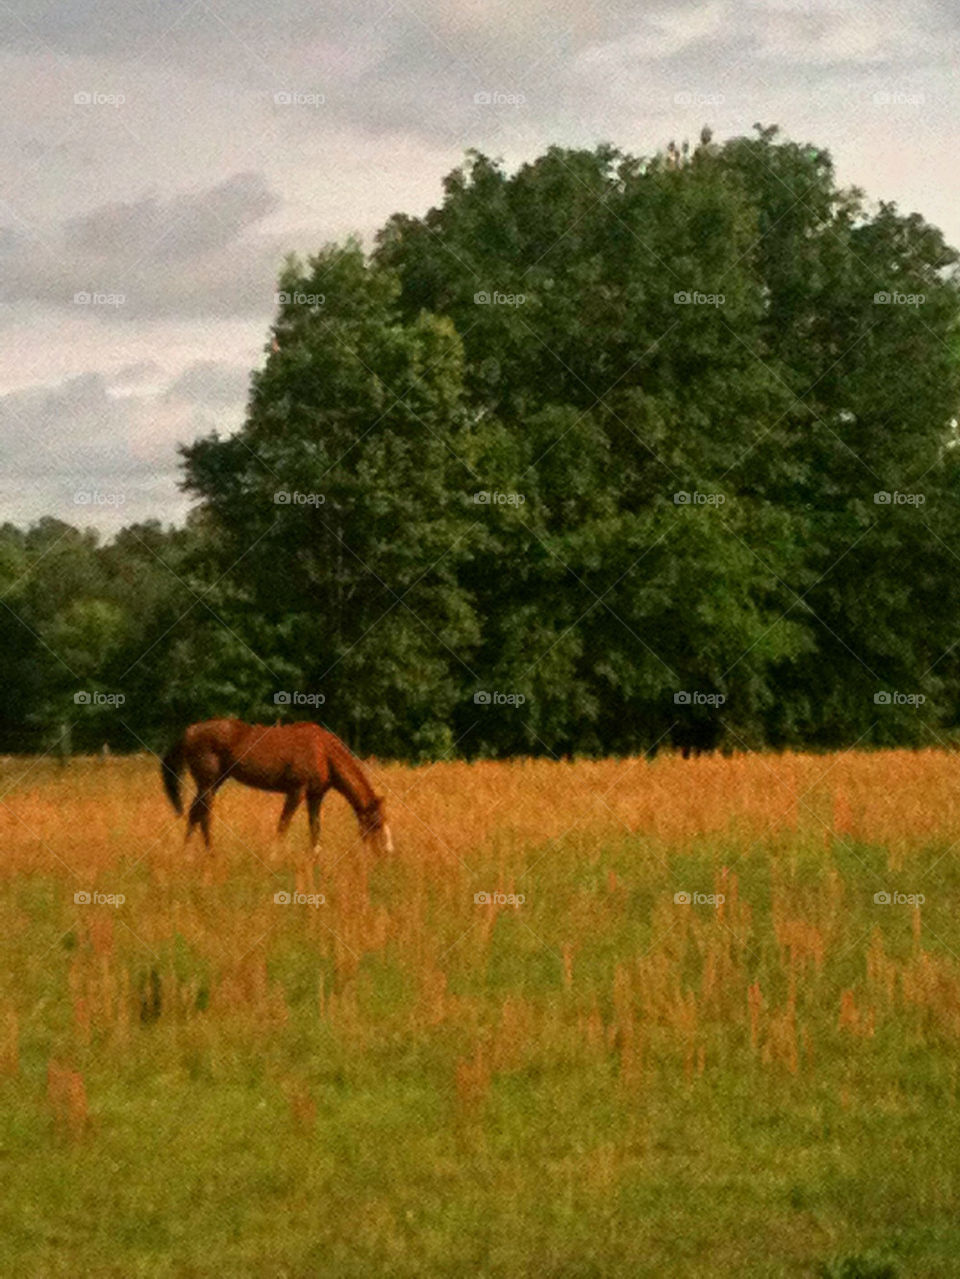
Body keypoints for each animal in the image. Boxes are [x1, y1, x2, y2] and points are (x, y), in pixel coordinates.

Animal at [160, 718, 393, 854]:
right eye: (376, 823)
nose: (387, 853)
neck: (323, 752)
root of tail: (190, 731)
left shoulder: (315, 796)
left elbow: (315, 827)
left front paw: (314, 856)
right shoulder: (296, 792)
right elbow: (283, 824)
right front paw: (275, 855)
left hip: (214, 782)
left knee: (196, 813)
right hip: (207, 783)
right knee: (201, 813)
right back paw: (205, 853)